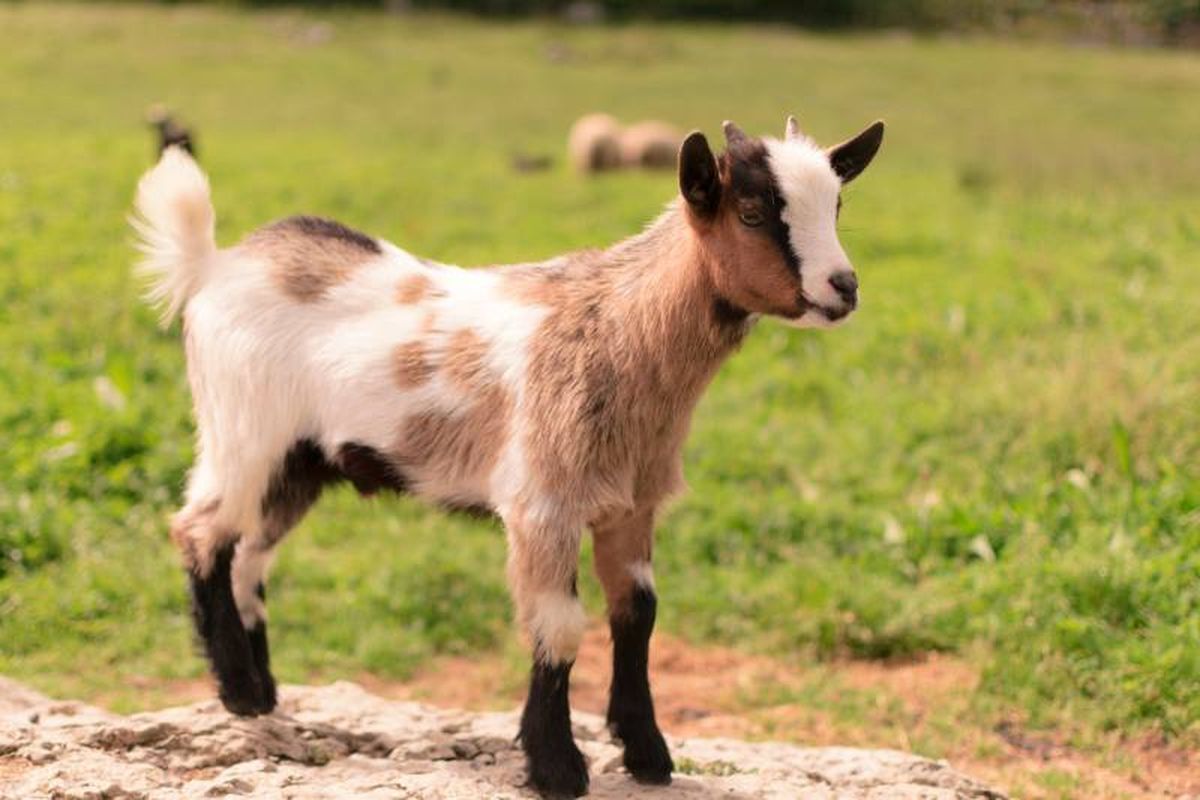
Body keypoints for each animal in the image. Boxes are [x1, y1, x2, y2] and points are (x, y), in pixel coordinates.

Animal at [132, 114, 884, 798]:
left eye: (837, 205)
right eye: (753, 213)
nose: (843, 287)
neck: (617, 327)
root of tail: (213, 266)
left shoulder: (631, 504)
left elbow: (636, 616)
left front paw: (647, 754)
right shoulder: (542, 504)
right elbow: (560, 627)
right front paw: (556, 768)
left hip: (299, 462)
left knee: (249, 555)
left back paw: (262, 690)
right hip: (241, 429)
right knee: (201, 532)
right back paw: (238, 693)